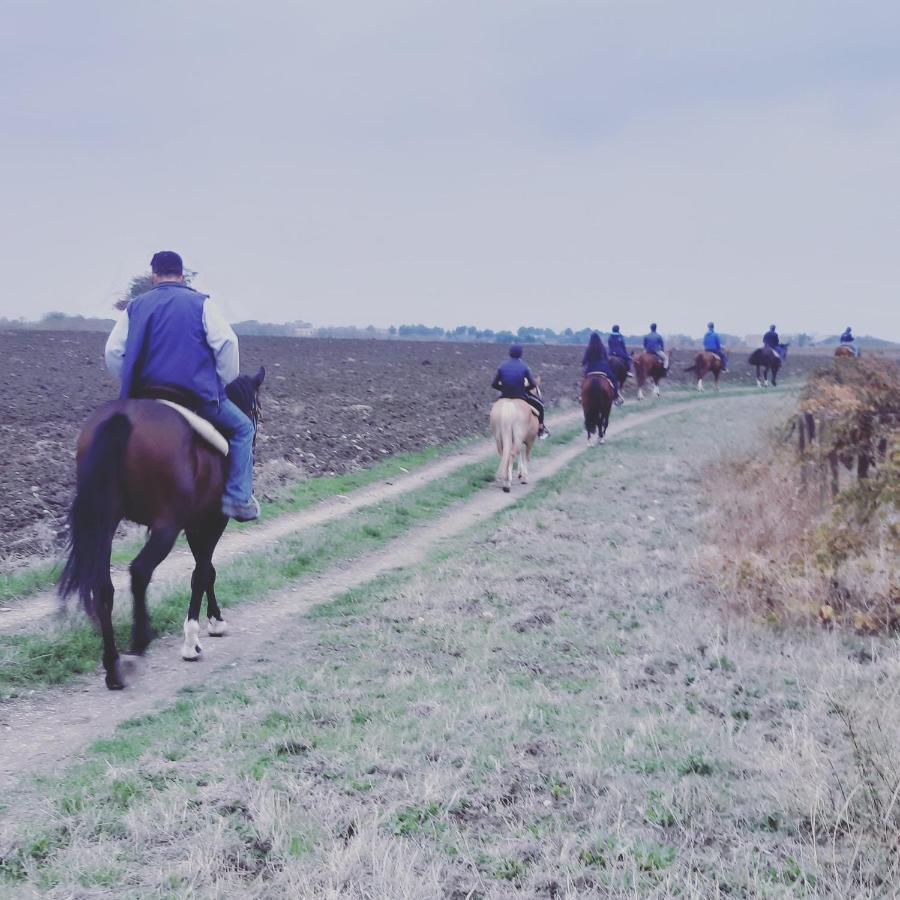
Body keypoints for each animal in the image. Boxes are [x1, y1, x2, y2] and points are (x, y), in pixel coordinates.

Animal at [57, 366, 264, 688]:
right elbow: (202, 573)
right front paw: (195, 639)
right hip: (167, 525)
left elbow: (206, 570)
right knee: (140, 571)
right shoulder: (211, 519)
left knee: (103, 586)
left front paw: (214, 620)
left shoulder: (194, 523)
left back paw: (113, 667)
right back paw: (138, 644)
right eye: (256, 409)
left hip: (105, 520)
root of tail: (123, 418)